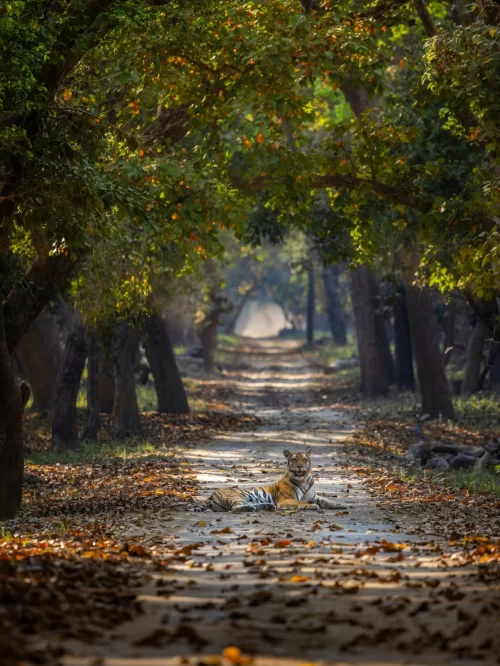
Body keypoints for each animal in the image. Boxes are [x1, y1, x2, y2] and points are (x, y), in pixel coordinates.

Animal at [192, 447, 346, 513]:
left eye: (304, 459)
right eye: (294, 459)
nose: (299, 466)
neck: (304, 479)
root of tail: (211, 495)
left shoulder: (314, 496)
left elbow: (327, 500)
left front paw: (340, 504)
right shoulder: (286, 500)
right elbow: (300, 503)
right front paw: (312, 506)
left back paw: (267, 506)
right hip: (235, 496)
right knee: (235, 508)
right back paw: (253, 508)